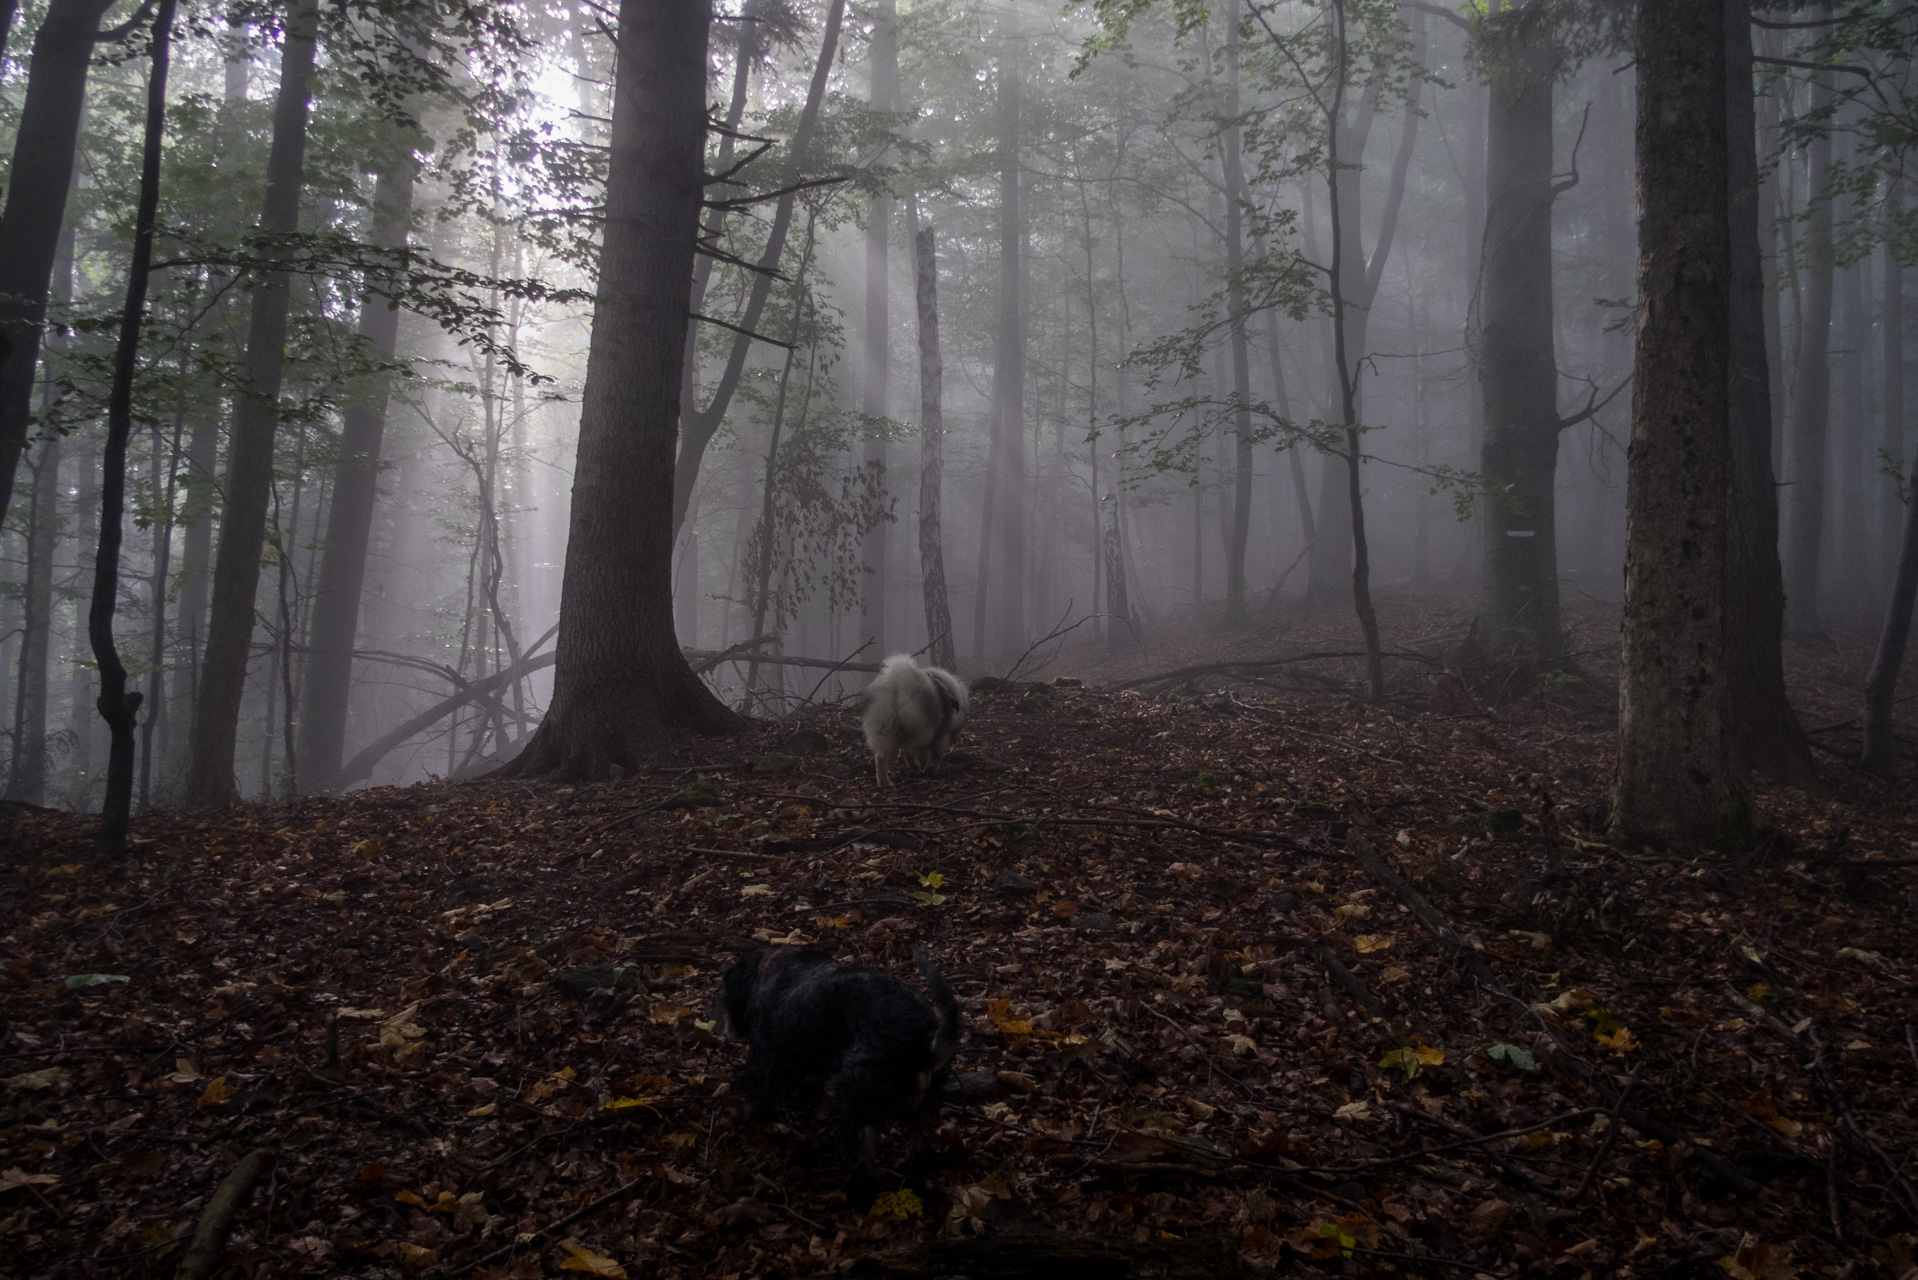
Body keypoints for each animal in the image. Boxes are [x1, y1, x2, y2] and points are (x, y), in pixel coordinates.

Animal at [717, 948, 959, 1197]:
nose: (726, 1028)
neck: (768, 970)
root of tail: (927, 1041)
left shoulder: (766, 1057)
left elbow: (756, 1092)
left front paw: (742, 1113)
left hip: (849, 1099)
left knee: (864, 1162)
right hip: (925, 1103)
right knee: (921, 1139)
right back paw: (913, 1165)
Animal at [863, 656, 966, 786]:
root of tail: (898, 681)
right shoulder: (942, 736)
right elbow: (936, 755)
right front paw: (931, 769)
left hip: (883, 728)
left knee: (881, 757)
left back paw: (885, 783)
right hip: (921, 730)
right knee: (909, 751)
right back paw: (916, 766)